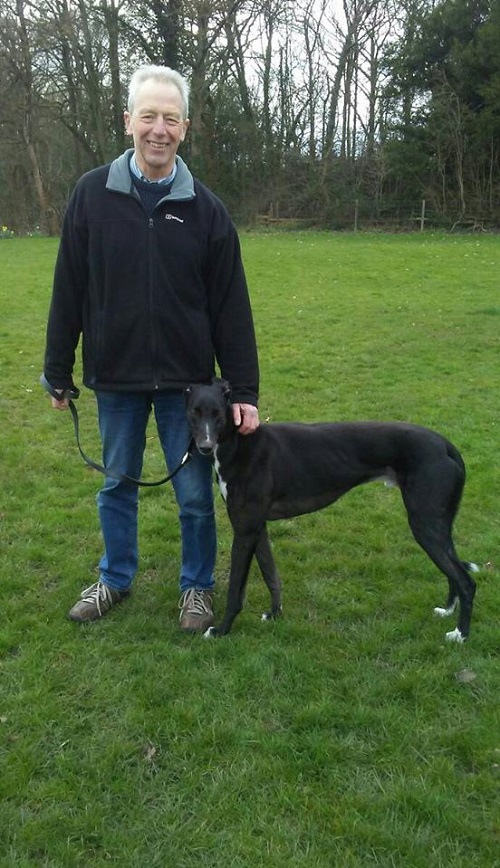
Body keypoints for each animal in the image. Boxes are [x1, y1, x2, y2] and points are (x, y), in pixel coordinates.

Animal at [186, 382, 478, 644]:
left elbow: (236, 589)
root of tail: (445, 445)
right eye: (194, 412)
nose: (204, 447)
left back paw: (460, 634)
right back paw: (447, 611)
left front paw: (221, 630)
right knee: (454, 569)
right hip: (438, 523)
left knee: (466, 581)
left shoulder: (245, 529)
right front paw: (274, 614)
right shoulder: (257, 526)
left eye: (218, 414)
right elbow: (271, 575)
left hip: (424, 524)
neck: (238, 444)